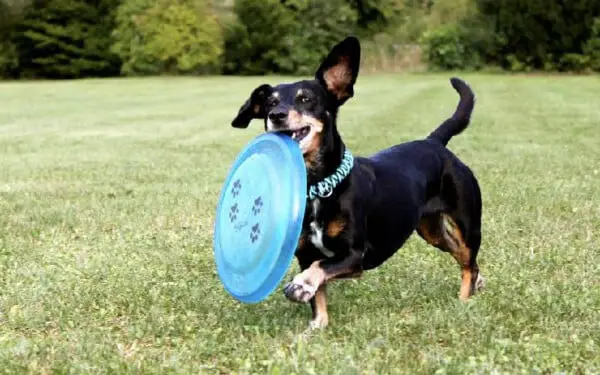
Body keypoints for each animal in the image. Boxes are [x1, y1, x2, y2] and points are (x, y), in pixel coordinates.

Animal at [229, 36, 482, 330]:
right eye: (270, 102)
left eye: (306, 99)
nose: (277, 115)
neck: (320, 188)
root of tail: (434, 143)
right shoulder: (306, 254)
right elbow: (319, 296)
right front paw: (316, 326)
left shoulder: (354, 256)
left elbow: (320, 269)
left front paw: (300, 285)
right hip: (431, 230)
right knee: (460, 254)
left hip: (468, 223)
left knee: (469, 259)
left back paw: (465, 298)